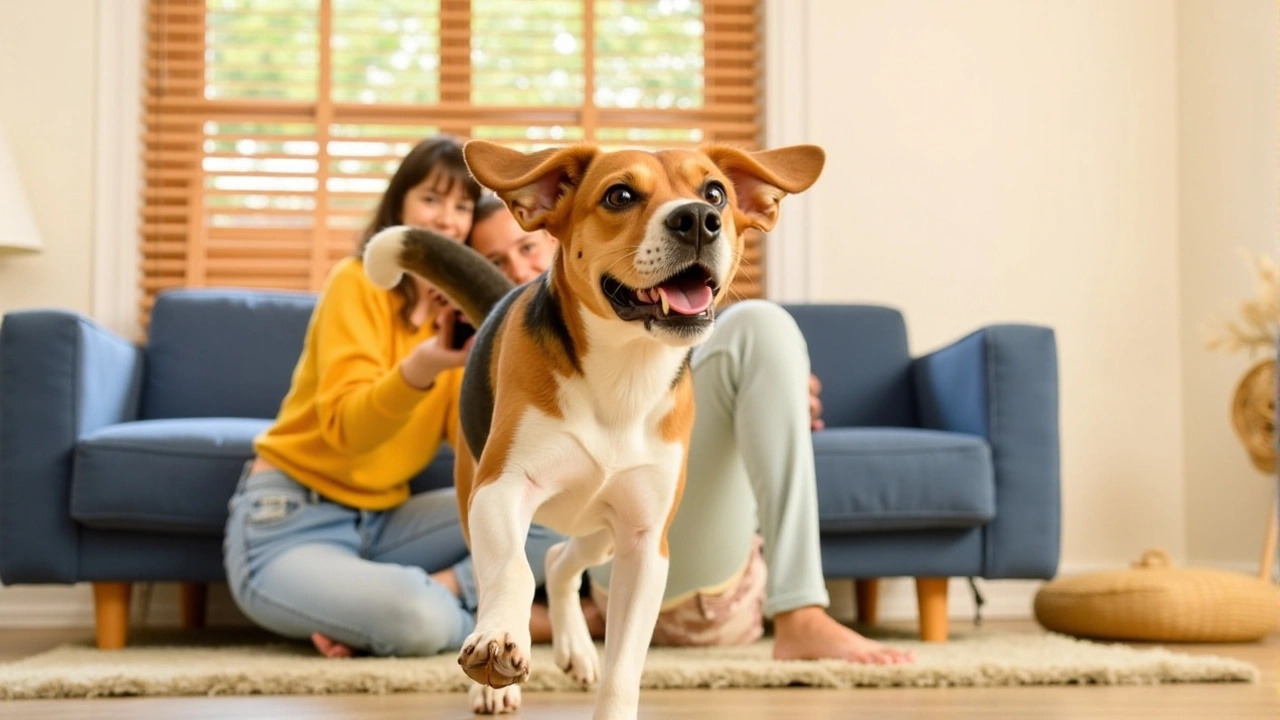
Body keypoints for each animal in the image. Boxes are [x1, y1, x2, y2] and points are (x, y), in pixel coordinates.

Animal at [363, 137, 819, 712]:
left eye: (715, 192)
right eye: (619, 195)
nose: (699, 219)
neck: (625, 375)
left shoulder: (645, 541)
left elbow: (625, 663)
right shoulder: (501, 490)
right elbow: (511, 570)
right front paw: (498, 640)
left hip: (602, 528)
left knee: (561, 559)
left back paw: (576, 649)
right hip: (476, 499)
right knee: (514, 569)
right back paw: (493, 678)